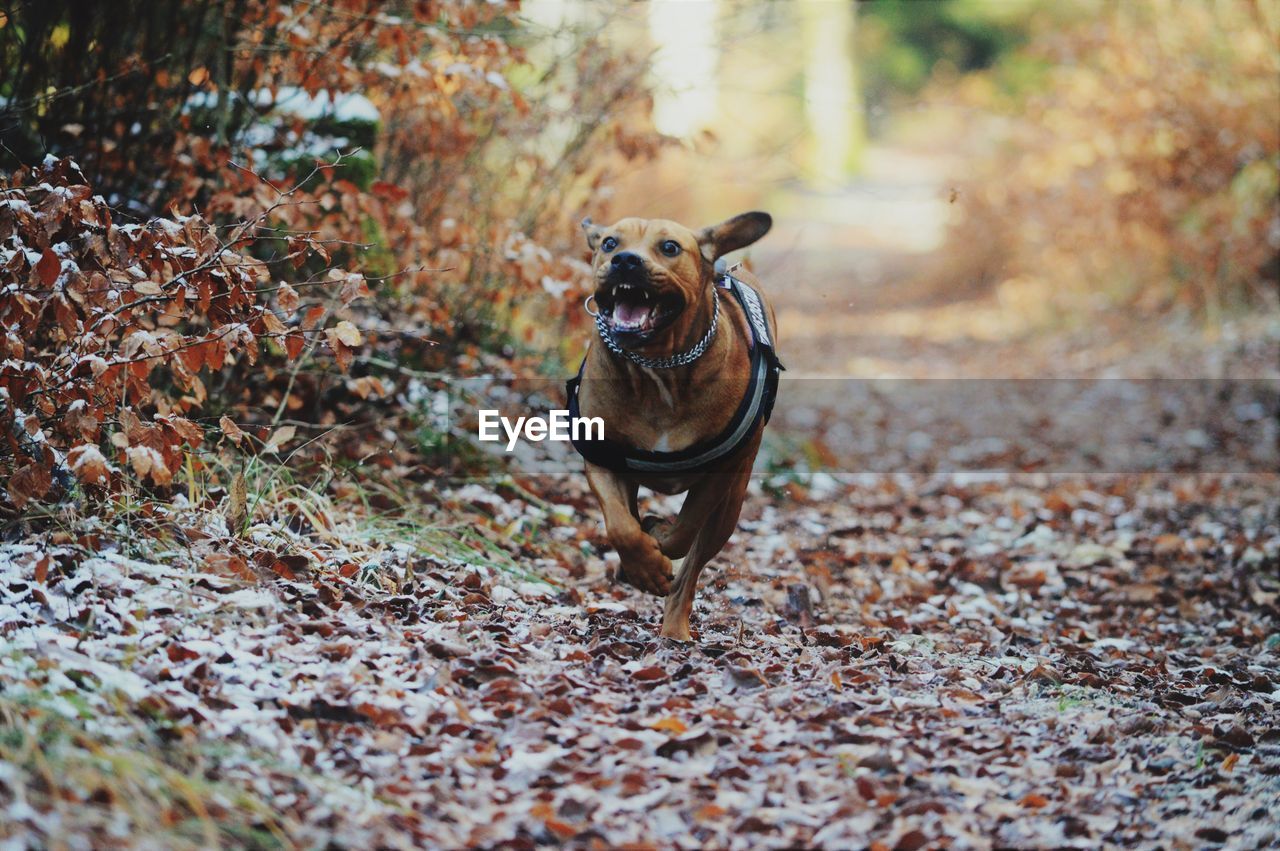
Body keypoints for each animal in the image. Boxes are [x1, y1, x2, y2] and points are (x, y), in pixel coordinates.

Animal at [570, 211, 778, 637]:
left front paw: (659, 541)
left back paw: (674, 628)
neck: (658, 368)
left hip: (732, 502)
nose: (625, 261)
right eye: (610, 243)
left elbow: (684, 530)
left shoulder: (719, 475)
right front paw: (643, 565)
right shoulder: (601, 459)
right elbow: (621, 526)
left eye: (669, 247)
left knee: (692, 567)